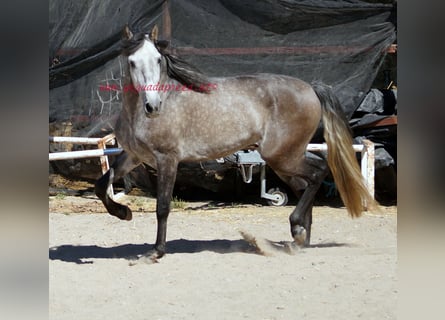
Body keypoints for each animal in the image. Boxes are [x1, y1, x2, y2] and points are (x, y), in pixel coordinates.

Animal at [95, 25, 376, 260]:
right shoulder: (133, 156)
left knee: (318, 173)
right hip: (287, 158)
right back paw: (299, 237)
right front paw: (123, 213)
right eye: (132, 62)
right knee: (307, 181)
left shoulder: (167, 159)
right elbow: (101, 185)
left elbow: (162, 206)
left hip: (282, 156)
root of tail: (311, 87)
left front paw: (156, 252)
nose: (153, 106)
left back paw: (296, 230)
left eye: (157, 60)